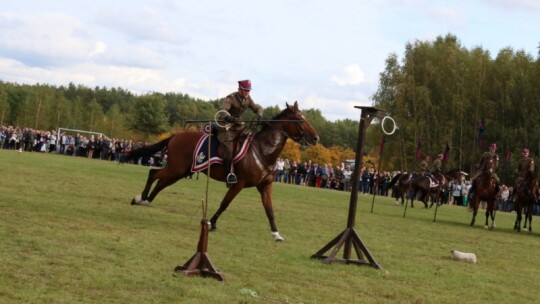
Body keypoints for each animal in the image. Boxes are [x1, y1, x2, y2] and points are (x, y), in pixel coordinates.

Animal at [124, 102, 318, 242]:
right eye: (300, 119)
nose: (316, 138)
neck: (263, 151)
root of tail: (175, 136)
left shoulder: (265, 186)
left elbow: (269, 210)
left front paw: (276, 234)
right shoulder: (238, 184)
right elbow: (225, 204)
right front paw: (211, 222)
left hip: (179, 172)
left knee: (160, 183)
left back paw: (145, 200)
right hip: (175, 169)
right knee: (153, 173)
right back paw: (141, 198)